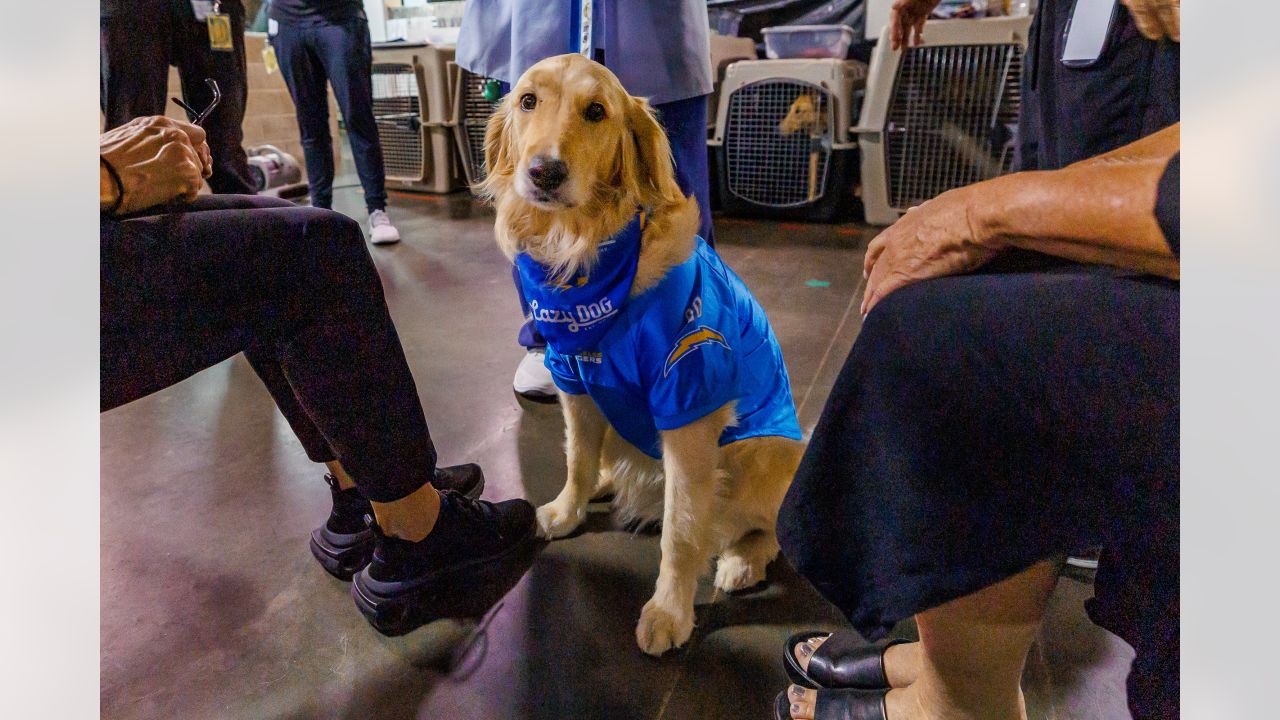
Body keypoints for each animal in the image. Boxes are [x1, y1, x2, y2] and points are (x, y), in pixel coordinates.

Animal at [481, 53, 798, 653]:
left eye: (596, 111)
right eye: (528, 100)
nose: (544, 172)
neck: (585, 252)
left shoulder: (687, 403)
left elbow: (682, 529)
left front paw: (669, 611)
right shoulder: (574, 381)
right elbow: (578, 459)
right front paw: (569, 507)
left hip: (766, 451)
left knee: (766, 526)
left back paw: (742, 560)